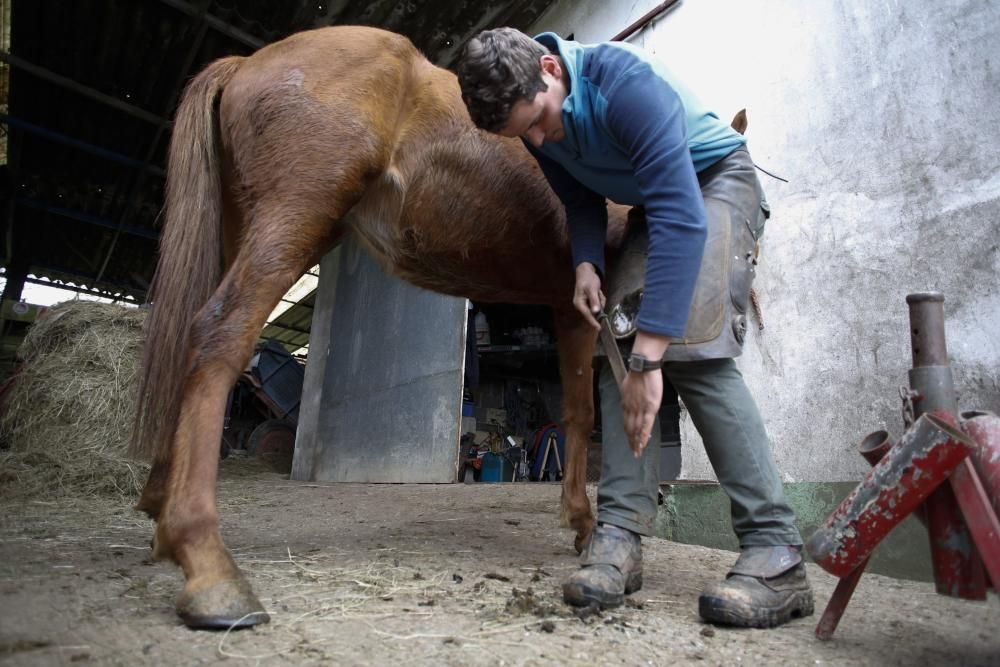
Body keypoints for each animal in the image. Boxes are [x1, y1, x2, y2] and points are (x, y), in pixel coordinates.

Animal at [134, 24, 624, 632]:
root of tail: (245, 62)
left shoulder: (568, 304)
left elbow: (581, 410)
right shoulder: (585, 305)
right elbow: (595, 412)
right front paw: (586, 523)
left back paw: (160, 510)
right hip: (294, 217)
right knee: (218, 335)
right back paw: (205, 561)